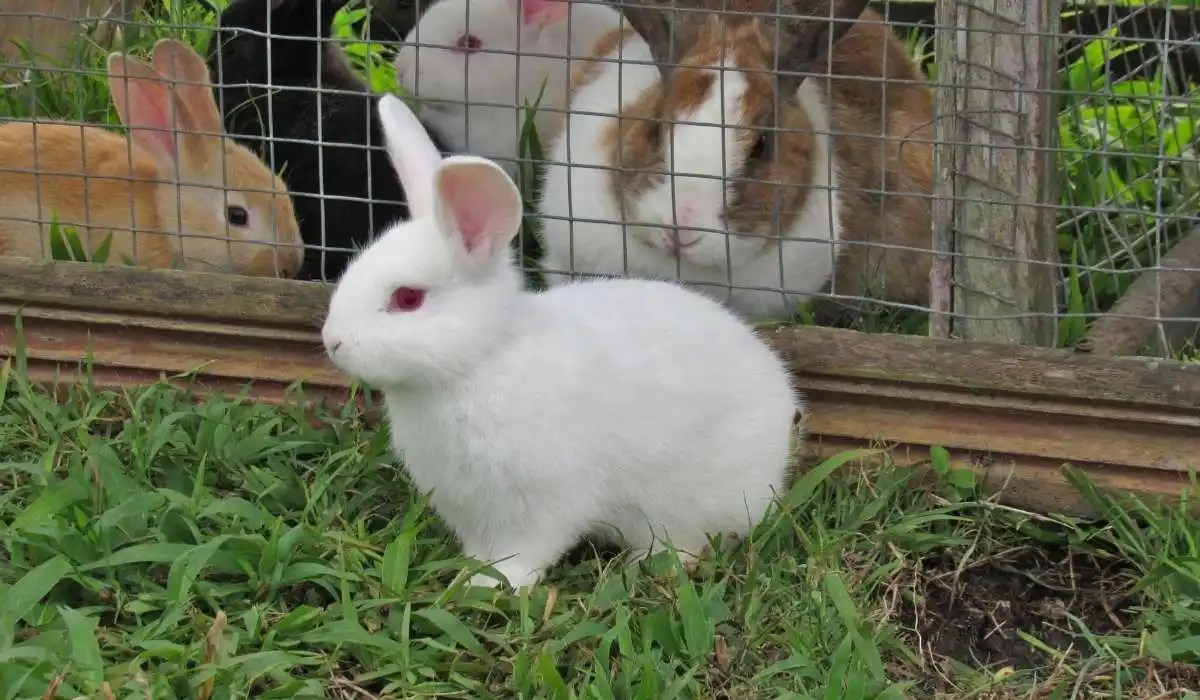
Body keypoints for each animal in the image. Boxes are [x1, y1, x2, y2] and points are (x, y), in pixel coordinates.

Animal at [321, 93, 801, 589]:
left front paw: (492, 586)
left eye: (407, 298)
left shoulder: (540, 503)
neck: (480, 361)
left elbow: (525, 552)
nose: (332, 342)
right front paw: (470, 572)